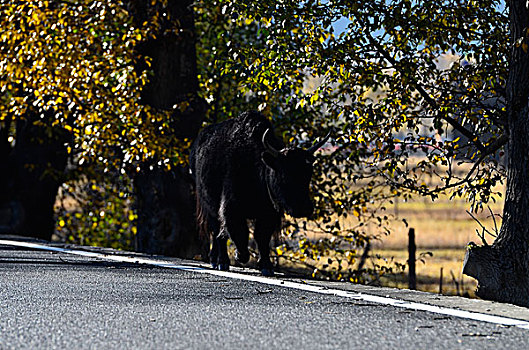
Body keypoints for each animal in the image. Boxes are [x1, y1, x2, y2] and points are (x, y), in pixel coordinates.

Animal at [192, 111, 328, 276]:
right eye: (284, 174)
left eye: (308, 174)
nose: (304, 208)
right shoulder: (232, 209)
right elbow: (239, 233)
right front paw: (239, 255)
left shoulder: (269, 214)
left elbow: (262, 237)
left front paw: (266, 266)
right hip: (209, 207)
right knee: (217, 232)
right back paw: (220, 261)